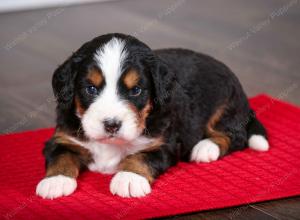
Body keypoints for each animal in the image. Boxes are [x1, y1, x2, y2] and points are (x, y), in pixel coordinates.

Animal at [35, 33, 270, 199]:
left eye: (136, 90)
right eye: (91, 89)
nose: (111, 125)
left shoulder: (164, 143)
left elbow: (142, 156)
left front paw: (129, 178)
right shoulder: (63, 136)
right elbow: (61, 154)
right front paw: (55, 181)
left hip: (225, 103)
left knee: (235, 135)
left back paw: (205, 148)